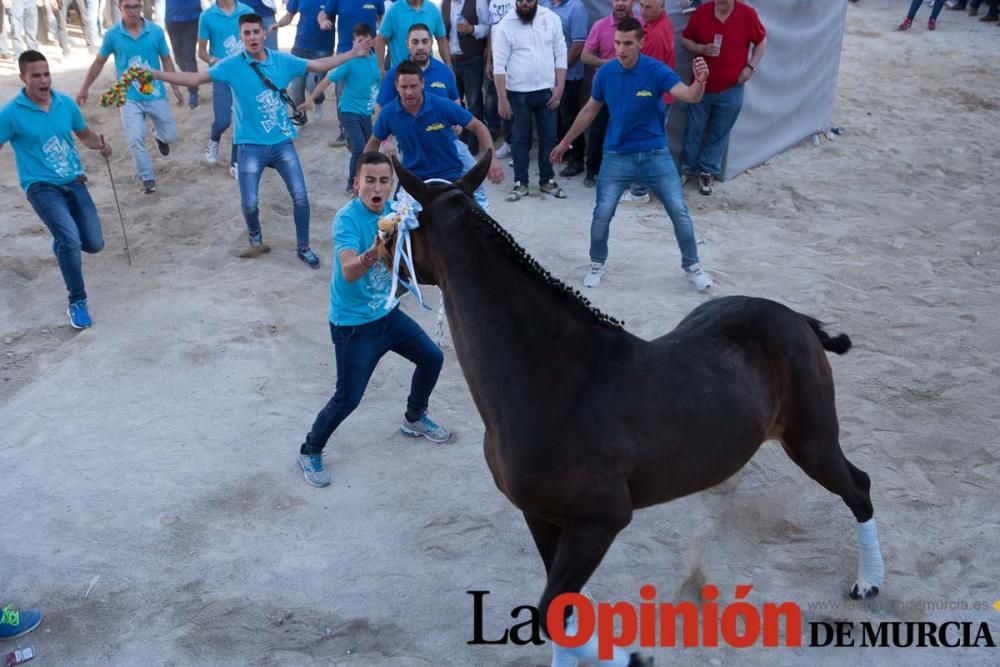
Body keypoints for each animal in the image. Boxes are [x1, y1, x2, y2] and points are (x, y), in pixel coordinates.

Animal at [386, 154, 888, 664]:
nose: (379, 261)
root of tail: (795, 319)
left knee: (859, 488)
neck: (554, 380)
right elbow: (564, 614)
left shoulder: (600, 522)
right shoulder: (541, 516)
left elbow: (553, 612)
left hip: (812, 441)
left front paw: (633, 657)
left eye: (397, 226)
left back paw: (868, 582)